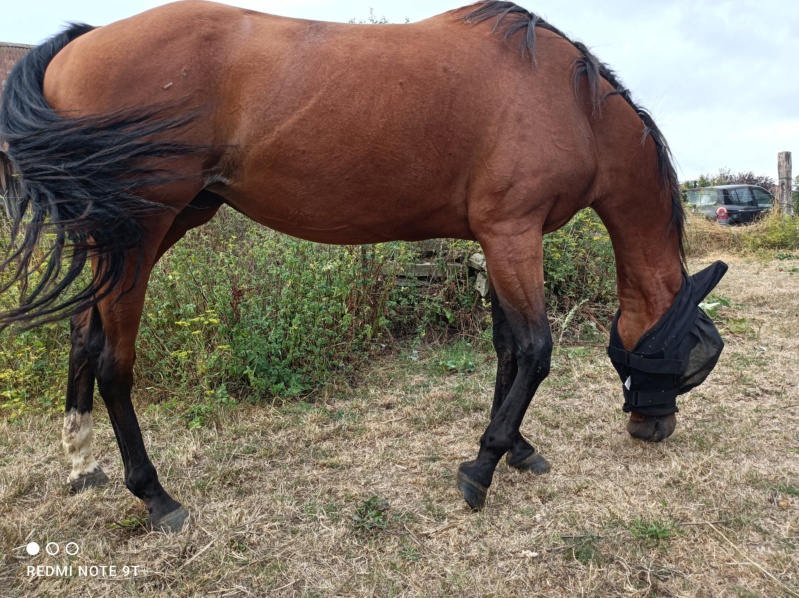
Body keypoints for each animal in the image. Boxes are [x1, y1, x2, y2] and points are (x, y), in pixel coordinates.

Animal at [0, 1, 728, 536]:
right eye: (687, 360)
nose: (653, 429)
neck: (570, 102)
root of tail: (80, 43)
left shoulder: (496, 239)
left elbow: (504, 350)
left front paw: (515, 449)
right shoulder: (513, 234)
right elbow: (534, 351)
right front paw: (482, 467)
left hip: (138, 232)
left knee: (82, 337)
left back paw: (82, 465)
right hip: (139, 232)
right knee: (112, 363)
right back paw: (156, 497)